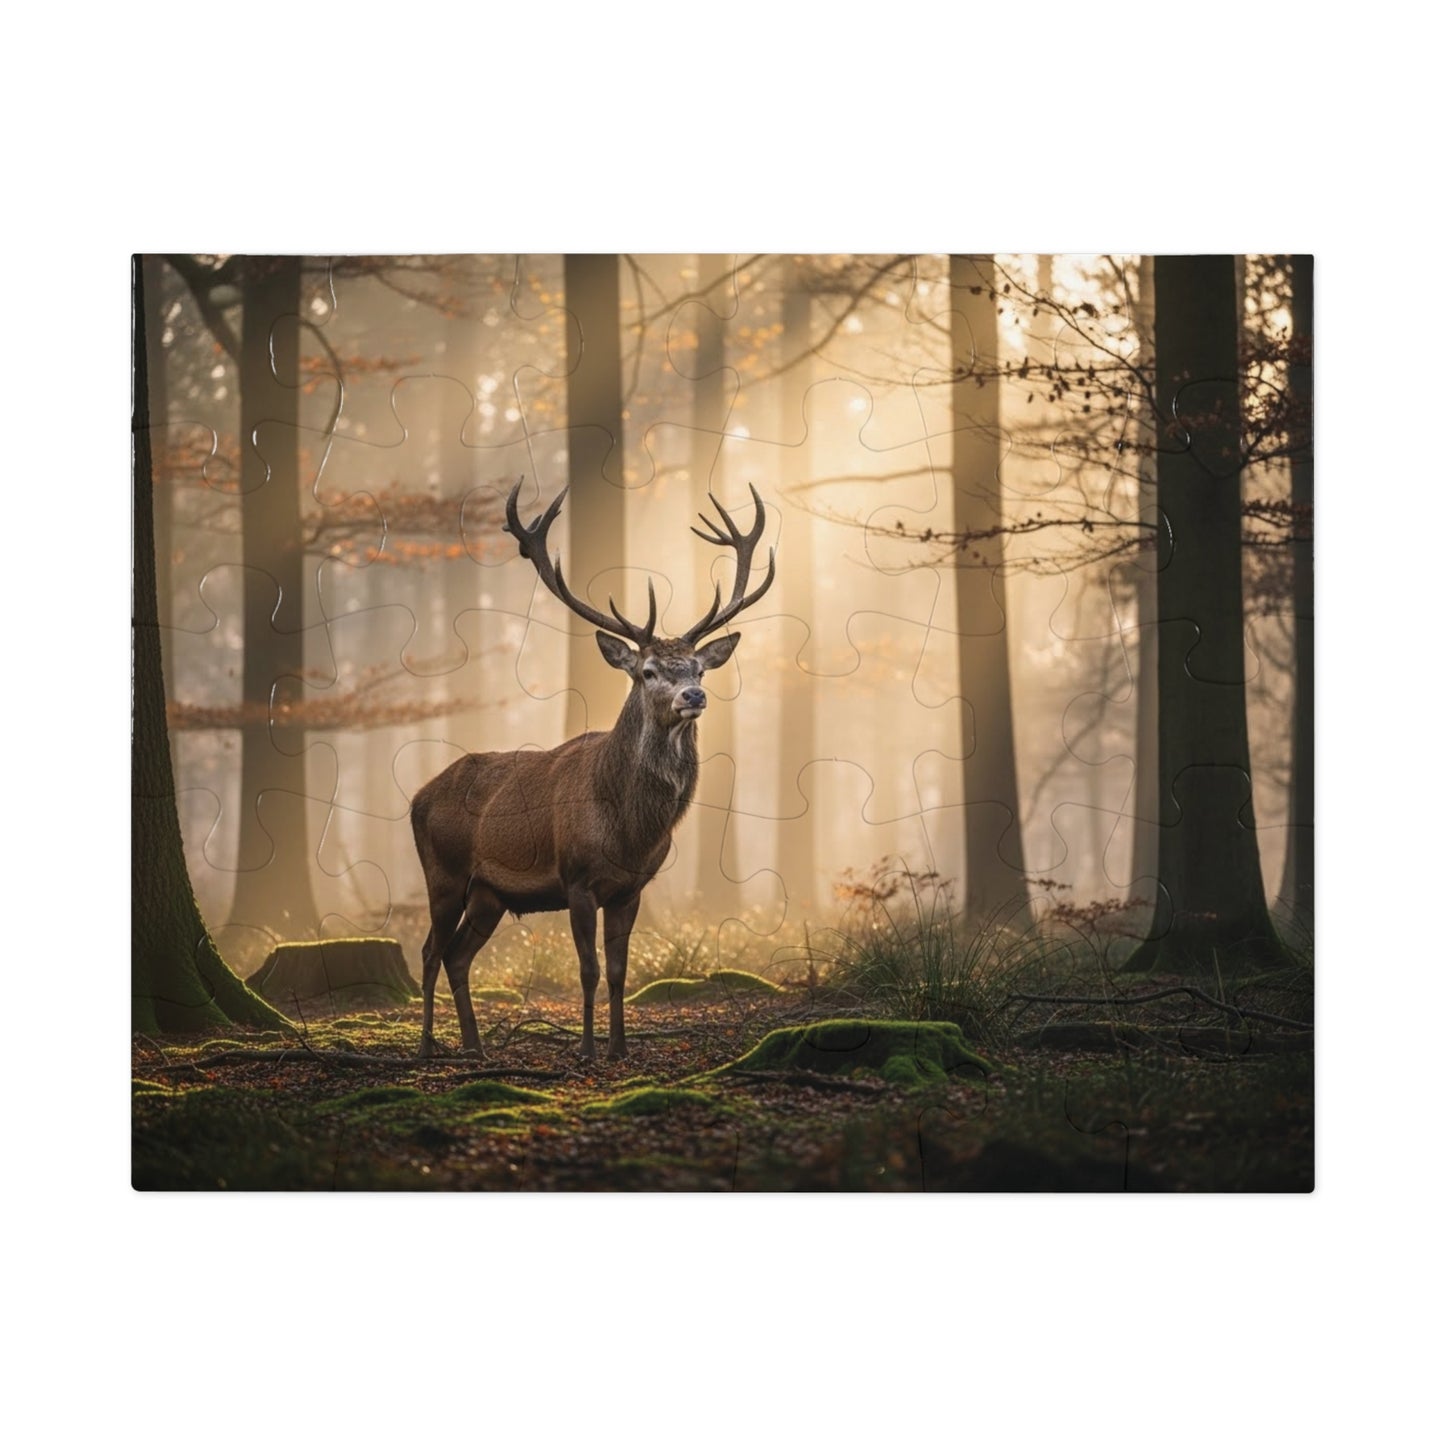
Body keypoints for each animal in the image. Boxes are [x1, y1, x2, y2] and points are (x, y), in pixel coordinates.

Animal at [409, 478, 776, 1062]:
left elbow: (621, 972)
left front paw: (620, 1048)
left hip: (489, 894)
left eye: (698, 668)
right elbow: (588, 970)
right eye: (648, 671)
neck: (629, 830)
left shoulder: (631, 888)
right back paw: (427, 1046)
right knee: (428, 952)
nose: (693, 696)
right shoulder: (577, 878)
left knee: (457, 955)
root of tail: (417, 796)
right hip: (443, 873)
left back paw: (475, 1046)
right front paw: (585, 1048)